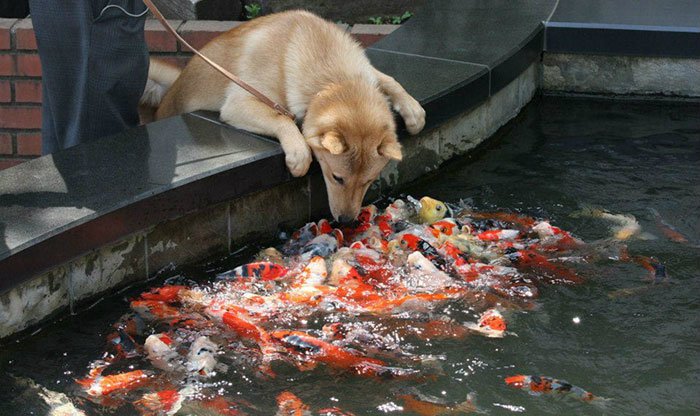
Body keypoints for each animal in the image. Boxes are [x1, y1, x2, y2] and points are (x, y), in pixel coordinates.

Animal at [143, 9, 426, 221]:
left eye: (368, 181)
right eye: (337, 178)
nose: (346, 221)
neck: (333, 81)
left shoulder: (364, 73)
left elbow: (387, 79)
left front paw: (413, 110)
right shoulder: (239, 102)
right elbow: (282, 118)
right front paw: (299, 153)